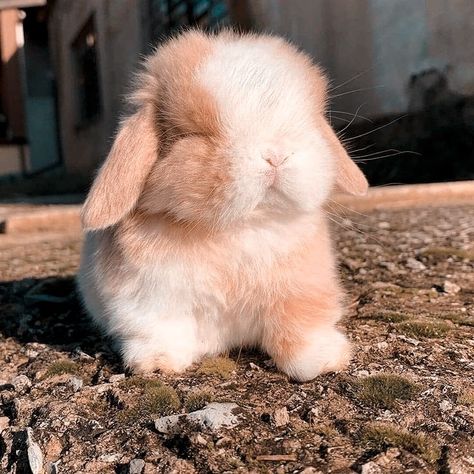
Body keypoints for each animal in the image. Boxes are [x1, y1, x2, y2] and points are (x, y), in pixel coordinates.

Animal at [78, 29, 368, 382]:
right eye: (194, 134)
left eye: (309, 122)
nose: (276, 156)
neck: (239, 227)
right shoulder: (148, 298)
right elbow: (160, 329)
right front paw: (157, 364)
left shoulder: (303, 287)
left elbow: (299, 324)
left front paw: (324, 360)